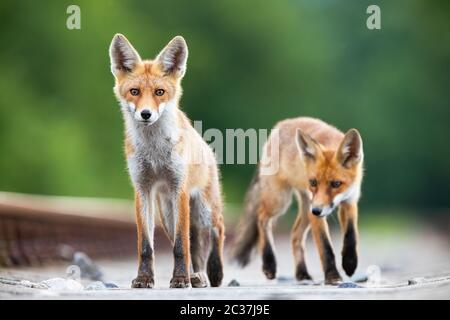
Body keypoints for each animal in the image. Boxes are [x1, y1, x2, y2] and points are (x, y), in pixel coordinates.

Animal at [109, 33, 225, 288]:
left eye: (159, 92)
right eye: (134, 91)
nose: (146, 114)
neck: (155, 152)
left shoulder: (178, 187)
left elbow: (182, 246)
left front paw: (180, 279)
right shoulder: (142, 188)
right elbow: (146, 246)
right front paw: (144, 278)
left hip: (203, 210)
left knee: (217, 230)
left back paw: (214, 272)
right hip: (166, 213)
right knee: (190, 245)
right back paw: (196, 275)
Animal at [232, 117, 362, 284]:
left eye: (336, 184)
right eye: (313, 182)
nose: (317, 211)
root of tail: (280, 125)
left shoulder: (350, 201)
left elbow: (351, 235)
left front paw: (350, 263)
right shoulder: (316, 213)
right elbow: (325, 246)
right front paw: (332, 276)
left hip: (305, 208)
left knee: (295, 236)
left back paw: (302, 273)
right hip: (281, 200)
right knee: (261, 218)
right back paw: (269, 264)